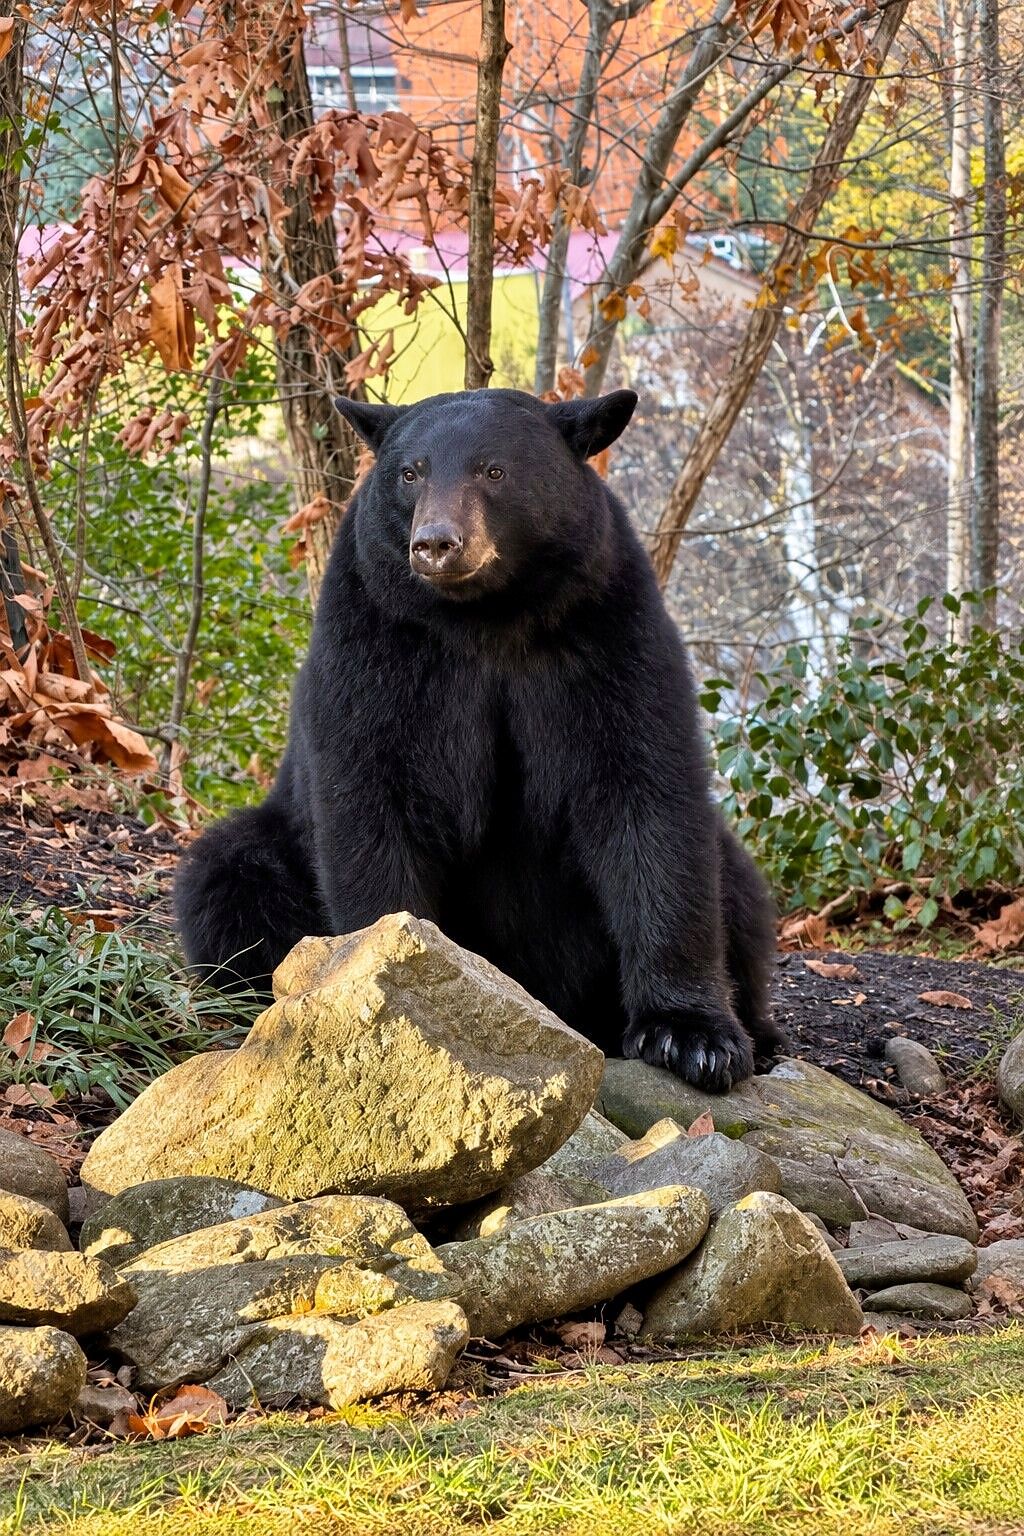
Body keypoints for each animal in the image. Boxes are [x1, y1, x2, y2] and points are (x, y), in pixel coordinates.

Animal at [174, 387, 782, 1091]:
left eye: (493, 471)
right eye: (410, 473)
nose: (436, 544)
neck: (487, 621)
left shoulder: (607, 632)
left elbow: (646, 794)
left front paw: (693, 1037)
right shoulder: (378, 645)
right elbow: (370, 795)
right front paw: (386, 985)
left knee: (736, 886)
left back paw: (761, 1032)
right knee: (228, 880)